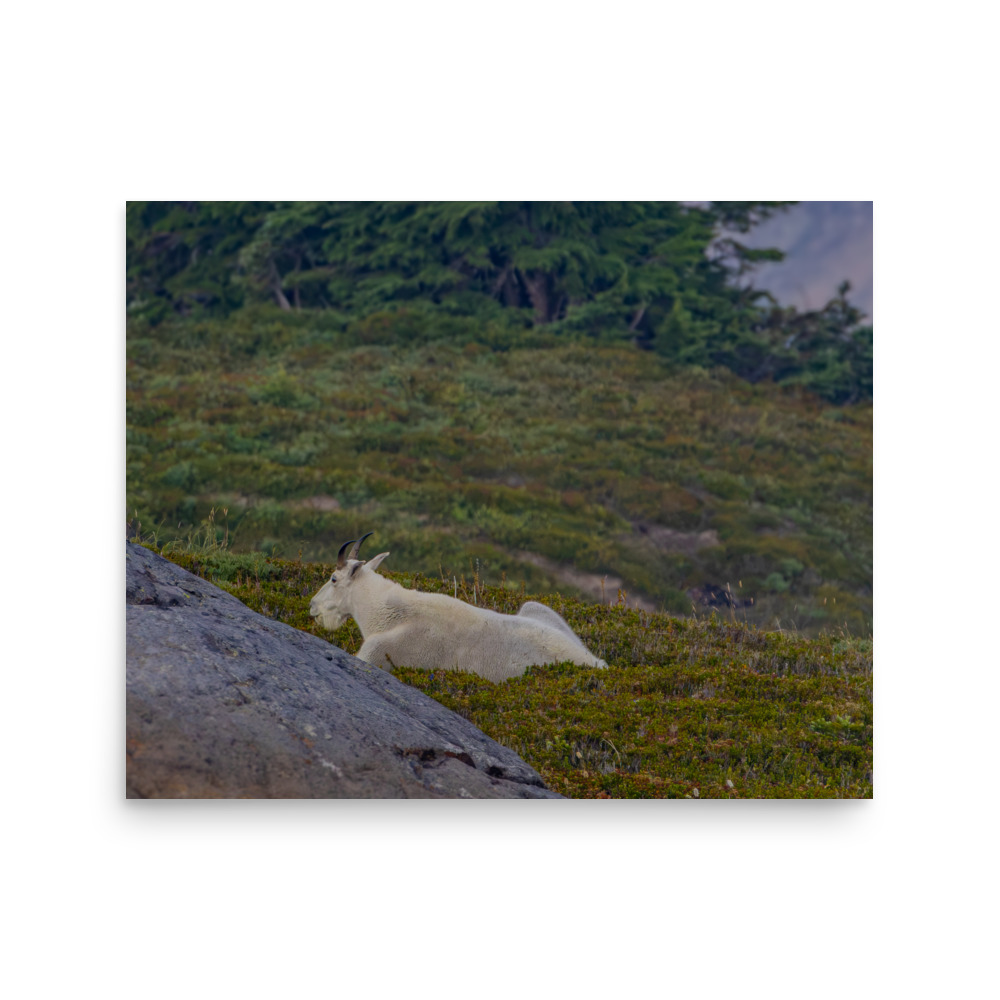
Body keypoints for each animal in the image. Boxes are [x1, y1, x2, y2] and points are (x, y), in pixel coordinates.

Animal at [309, 534, 608, 682]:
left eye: (333, 578)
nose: (312, 606)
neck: (389, 613)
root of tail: (598, 664)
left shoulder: (375, 653)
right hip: (535, 607)